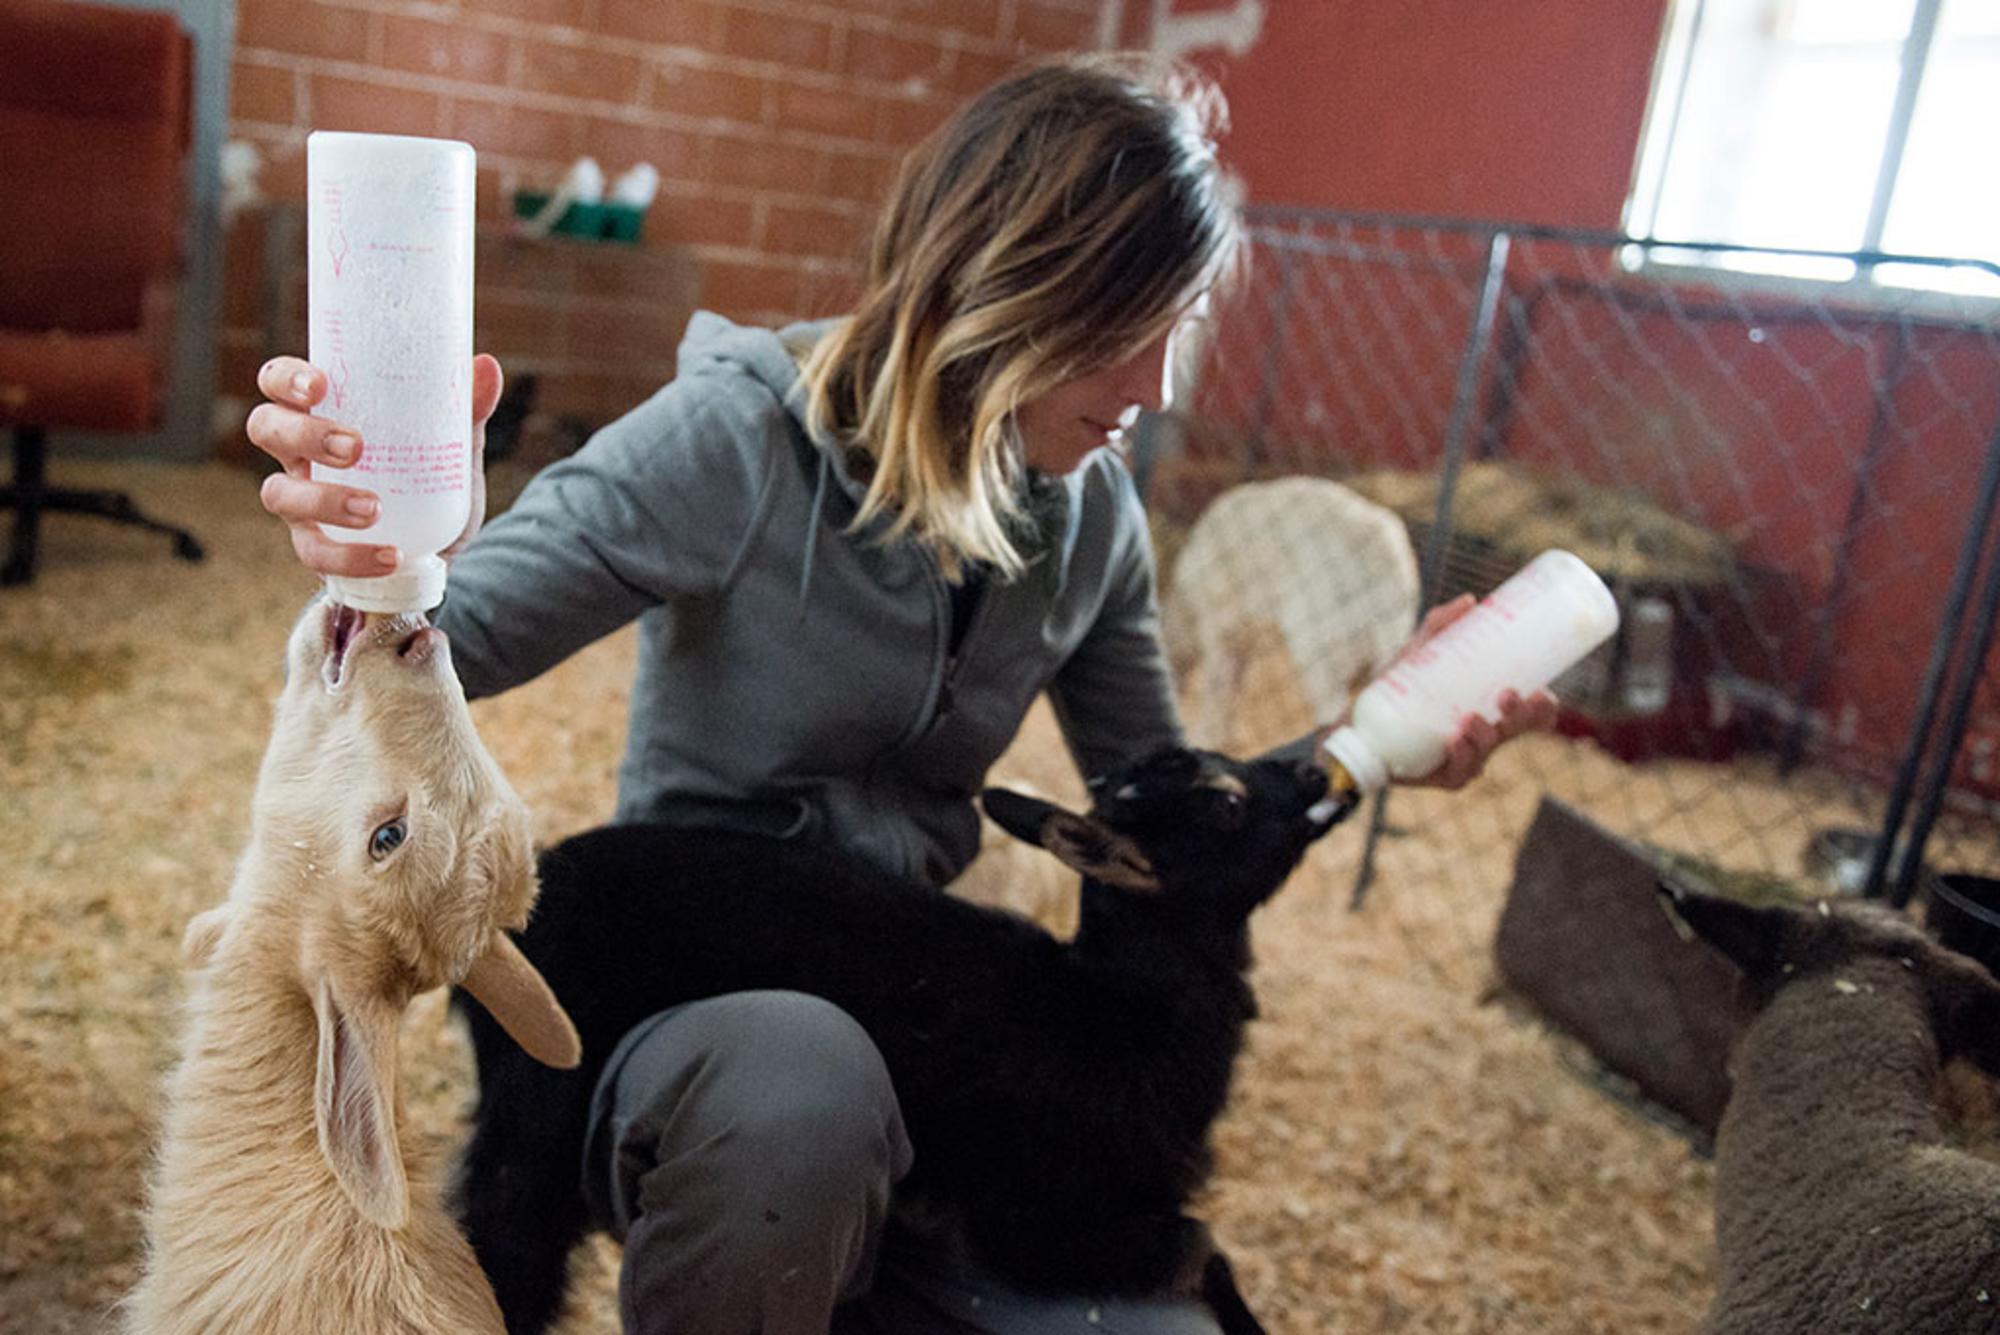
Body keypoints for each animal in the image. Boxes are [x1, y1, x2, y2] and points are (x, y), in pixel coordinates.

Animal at [456, 747, 1360, 1327]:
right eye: (1227, 803)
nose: (1320, 772)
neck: (1112, 1006)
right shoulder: (1037, 1216)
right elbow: (1203, 1248)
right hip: (541, 1112)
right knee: (503, 1242)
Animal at [1160, 477, 1424, 751]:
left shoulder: (1219, 628)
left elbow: (1218, 687)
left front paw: (1205, 738)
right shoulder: (1243, 636)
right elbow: (1234, 684)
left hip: (1318, 648)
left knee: (1332, 710)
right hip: (1388, 640)